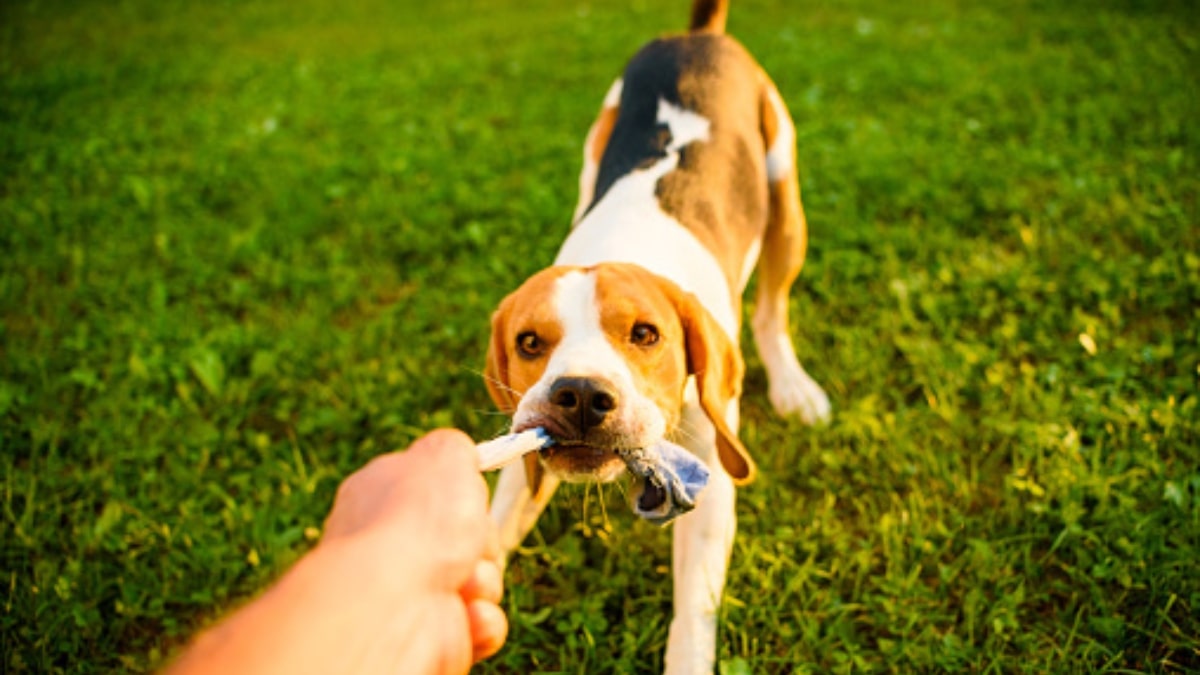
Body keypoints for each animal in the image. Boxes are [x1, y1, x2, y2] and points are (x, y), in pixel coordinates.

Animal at [482, 0, 830, 667]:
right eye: (529, 344)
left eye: (646, 335)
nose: (580, 395)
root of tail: (696, 37)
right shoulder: (523, 442)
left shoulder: (710, 467)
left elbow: (694, 611)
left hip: (785, 196)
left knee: (771, 310)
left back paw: (793, 386)